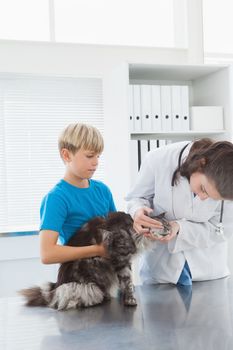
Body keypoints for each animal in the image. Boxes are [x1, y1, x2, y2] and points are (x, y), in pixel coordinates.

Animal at [19, 212, 169, 310]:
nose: (170, 228)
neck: (132, 230)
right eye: (162, 224)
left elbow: (127, 283)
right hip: (86, 285)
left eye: (167, 223)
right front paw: (130, 299)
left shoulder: (126, 261)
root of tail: (55, 289)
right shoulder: (121, 260)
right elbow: (127, 282)